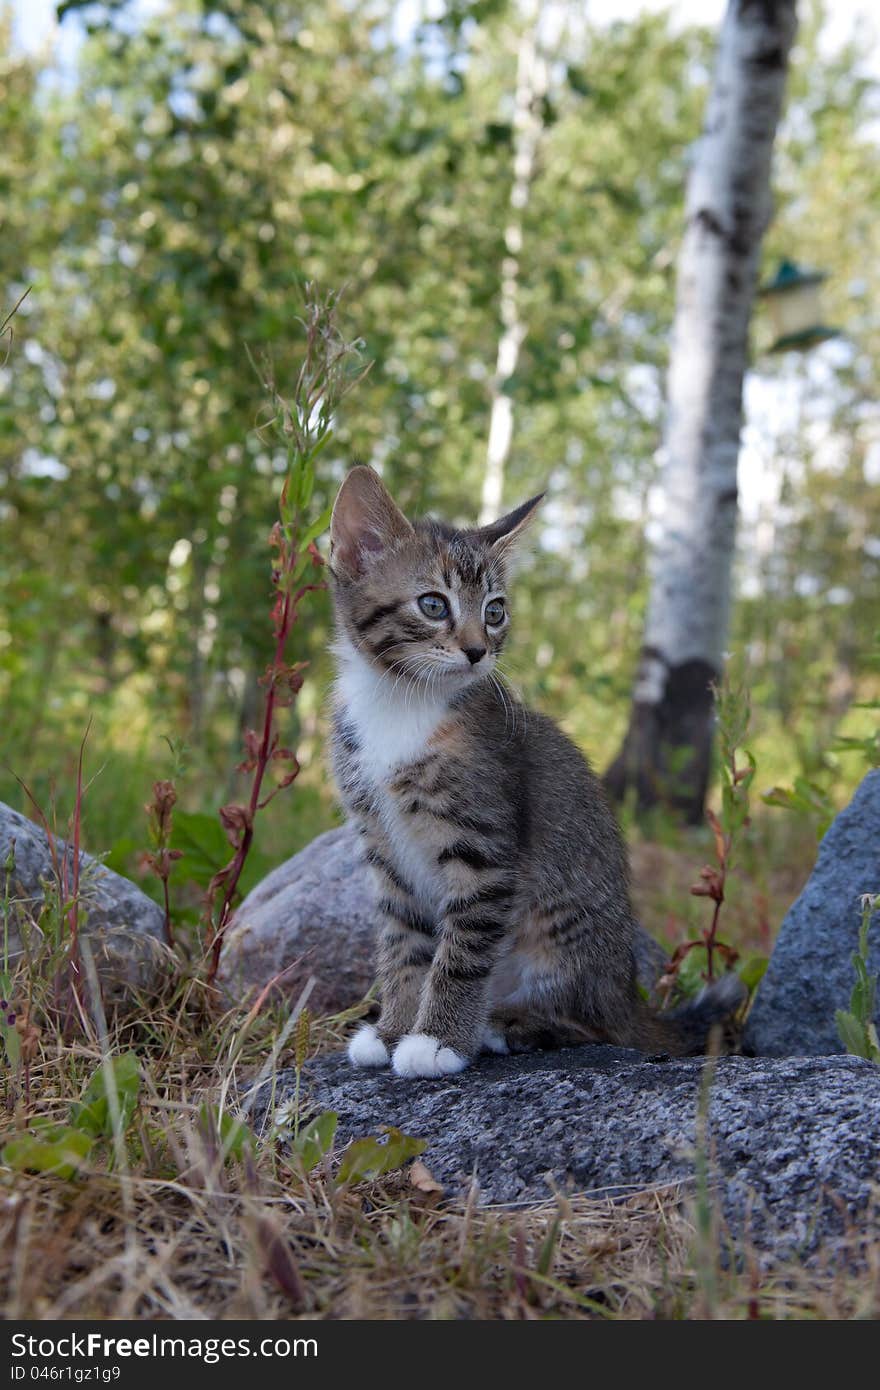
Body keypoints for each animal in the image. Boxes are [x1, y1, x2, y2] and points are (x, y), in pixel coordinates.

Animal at [329, 464, 739, 1073]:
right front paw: (392, 1031)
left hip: (561, 934)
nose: (478, 651)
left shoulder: (486, 847)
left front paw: (436, 1041)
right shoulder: (382, 846)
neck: (401, 702)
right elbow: (403, 944)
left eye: (494, 611)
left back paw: (510, 1023)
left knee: (595, 1025)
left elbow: (462, 951)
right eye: (433, 605)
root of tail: (627, 995)